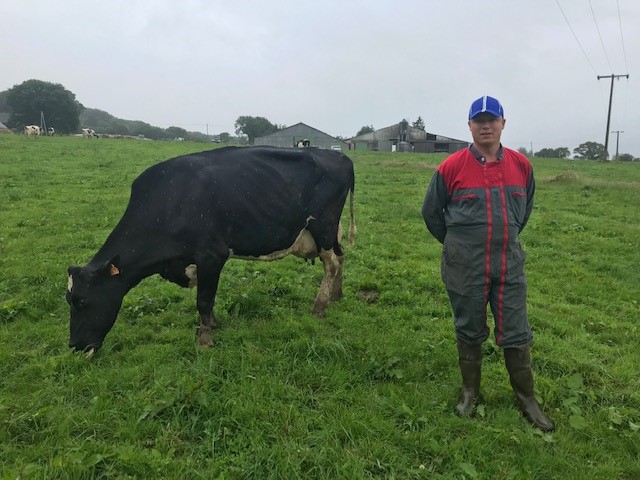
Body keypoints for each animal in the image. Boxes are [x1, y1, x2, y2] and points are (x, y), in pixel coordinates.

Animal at [67, 145, 358, 356]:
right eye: (69, 300)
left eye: (82, 301)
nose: (74, 346)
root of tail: (338, 154)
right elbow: (207, 299)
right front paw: (211, 326)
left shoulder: (212, 256)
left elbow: (204, 299)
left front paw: (205, 338)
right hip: (330, 232)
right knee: (341, 256)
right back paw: (336, 295)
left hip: (323, 227)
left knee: (331, 263)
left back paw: (320, 306)